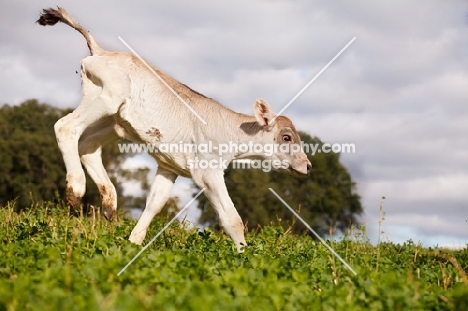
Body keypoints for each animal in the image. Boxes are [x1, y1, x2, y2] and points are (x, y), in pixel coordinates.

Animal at [37, 6, 310, 254]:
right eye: (286, 137)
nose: (307, 165)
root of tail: (102, 51)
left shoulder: (169, 167)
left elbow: (154, 204)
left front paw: (133, 244)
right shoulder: (208, 173)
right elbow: (232, 218)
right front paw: (244, 256)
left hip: (115, 121)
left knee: (88, 144)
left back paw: (109, 203)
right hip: (107, 98)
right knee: (66, 127)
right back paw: (76, 189)